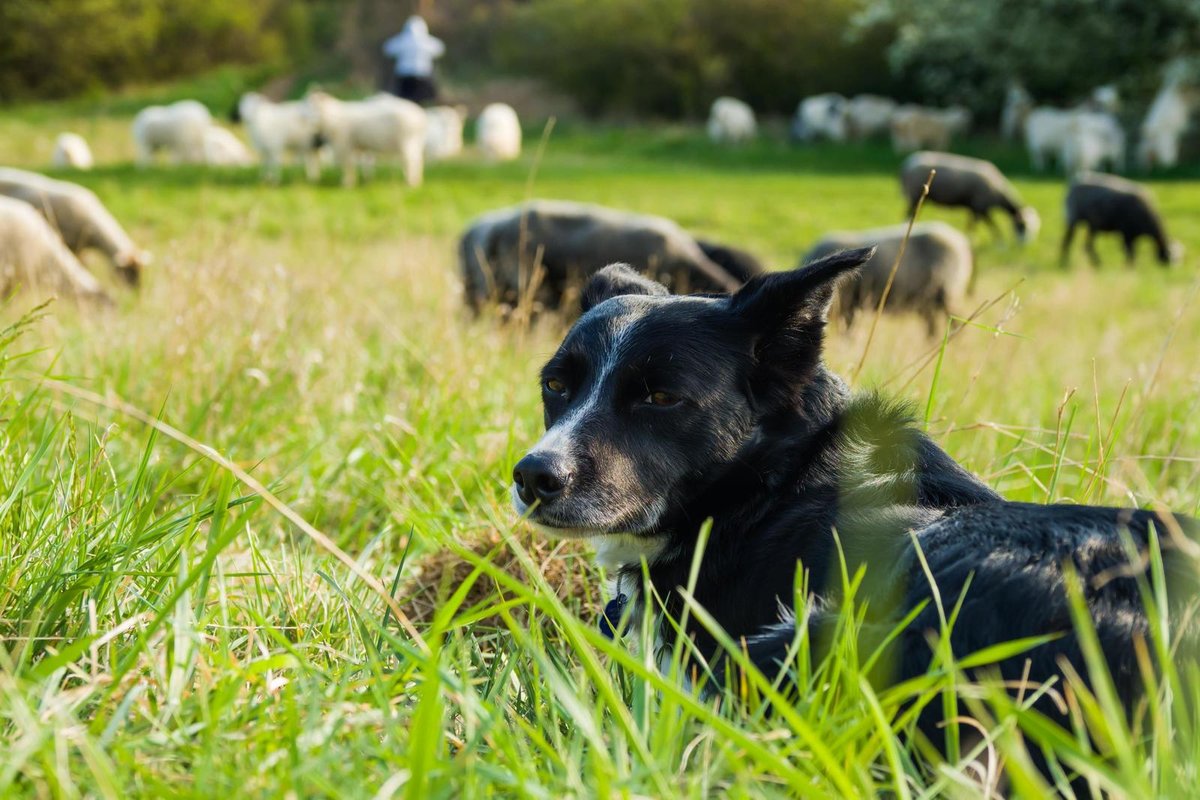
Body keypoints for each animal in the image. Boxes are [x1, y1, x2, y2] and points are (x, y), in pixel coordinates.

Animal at [796, 221, 974, 338]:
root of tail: (961, 242)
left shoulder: (849, 306)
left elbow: (848, 332)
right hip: (928, 300)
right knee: (933, 326)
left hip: (948, 294)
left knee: (956, 321)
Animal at [902, 151, 1041, 244]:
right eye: (1023, 225)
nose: (1024, 245)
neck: (998, 192)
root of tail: (907, 165)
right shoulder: (981, 206)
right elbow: (990, 225)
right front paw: (999, 243)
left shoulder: (975, 208)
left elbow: (972, 224)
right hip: (914, 195)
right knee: (907, 214)